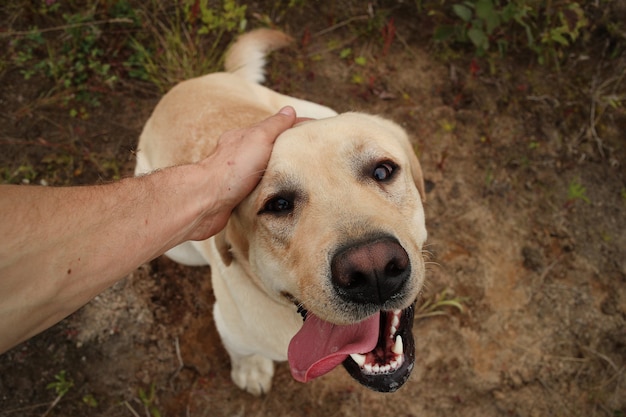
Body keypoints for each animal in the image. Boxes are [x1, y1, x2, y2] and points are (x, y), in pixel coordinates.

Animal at [134, 28, 426, 394]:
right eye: (278, 205)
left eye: (383, 171)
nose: (373, 269)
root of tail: (185, 86)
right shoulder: (228, 326)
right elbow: (242, 352)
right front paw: (251, 370)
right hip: (177, 249)